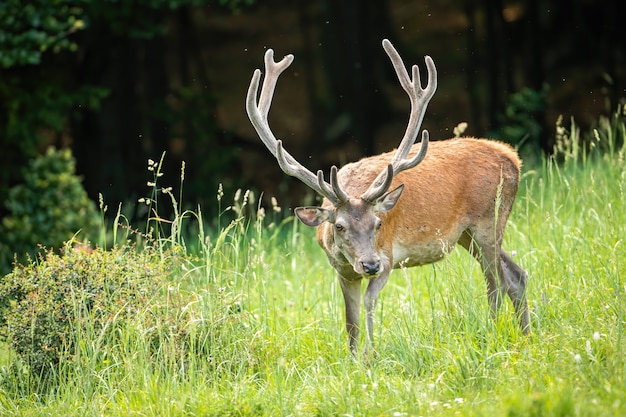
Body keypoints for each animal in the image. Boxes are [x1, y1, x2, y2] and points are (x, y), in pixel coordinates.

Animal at [244, 39, 528, 356]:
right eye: (339, 226)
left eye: (378, 224)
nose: (369, 265)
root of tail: (513, 158)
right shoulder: (343, 272)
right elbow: (350, 320)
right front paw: (354, 358)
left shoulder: (389, 258)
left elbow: (369, 303)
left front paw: (372, 355)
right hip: (467, 235)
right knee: (516, 275)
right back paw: (527, 335)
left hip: (487, 221)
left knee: (495, 283)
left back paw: (493, 332)